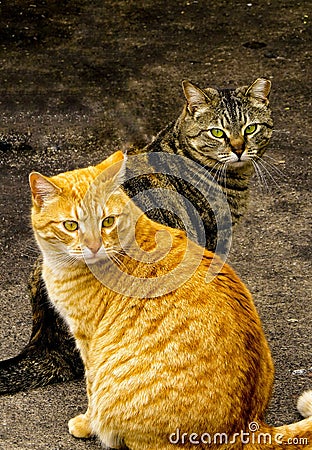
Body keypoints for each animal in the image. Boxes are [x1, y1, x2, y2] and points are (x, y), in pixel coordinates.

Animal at [29, 152, 312, 450]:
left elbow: (91, 387)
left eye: (107, 221)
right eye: (71, 226)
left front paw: (86, 423)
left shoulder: (88, 339)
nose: (94, 246)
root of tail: (246, 428)